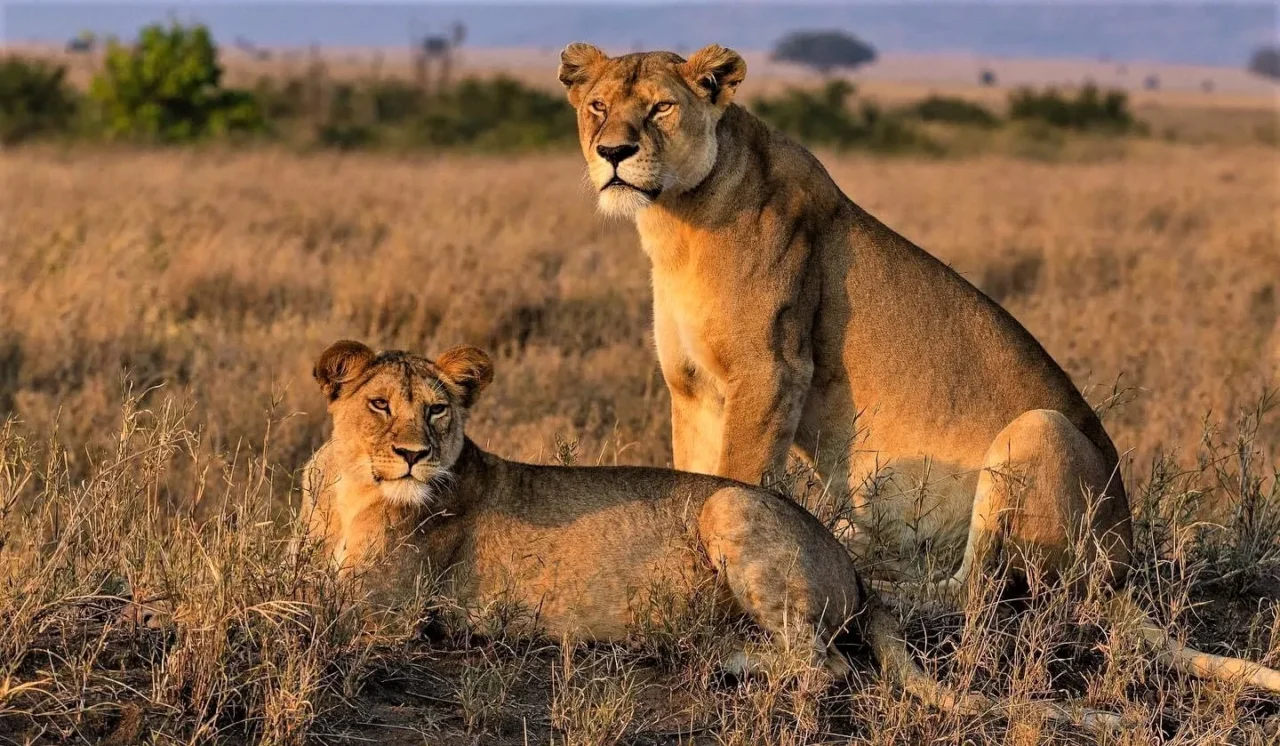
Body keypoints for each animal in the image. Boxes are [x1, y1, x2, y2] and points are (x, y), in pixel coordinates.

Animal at [298, 339, 1122, 733]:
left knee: (824, 666)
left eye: (437, 409)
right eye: (379, 404)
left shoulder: (386, 608)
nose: (414, 454)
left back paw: (724, 657)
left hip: (728, 511)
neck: (348, 484)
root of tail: (853, 568)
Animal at [556, 43, 1280, 694]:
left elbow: (737, 477)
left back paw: (880, 574)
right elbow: (693, 473)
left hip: (1037, 431)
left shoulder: (770, 371)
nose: (613, 153)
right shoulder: (691, 389)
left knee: (975, 594)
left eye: (660, 108)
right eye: (597, 107)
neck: (676, 221)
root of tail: (1122, 566)